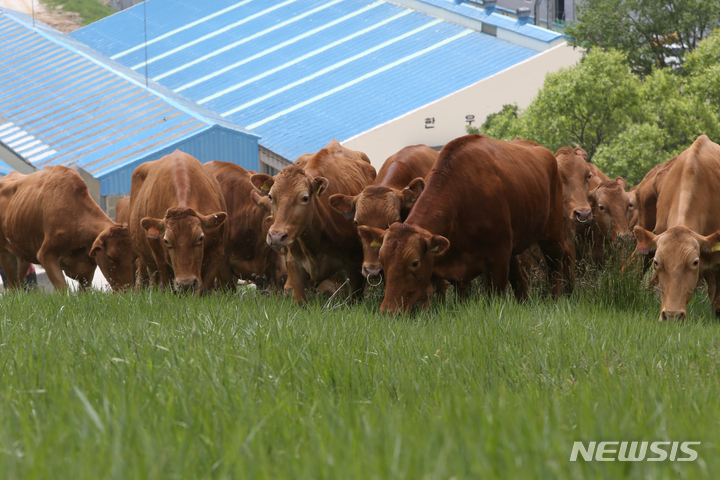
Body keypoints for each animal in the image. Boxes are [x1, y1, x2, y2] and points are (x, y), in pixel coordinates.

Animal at [0, 166, 137, 291]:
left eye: (135, 258)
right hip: (6, 255)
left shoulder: (87, 269)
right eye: (110, 257)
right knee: (12, 287)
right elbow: (63, 289)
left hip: (22, 256)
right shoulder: (46, 255)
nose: (127, 291)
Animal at [129, 150, 228, 293]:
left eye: (200, 238)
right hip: (147, 261)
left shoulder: (217, 253)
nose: (186, 283)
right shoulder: (160, 260)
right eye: (166, 241)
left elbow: (203, 287)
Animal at [364, 135, 572, 313]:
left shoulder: (499, 258)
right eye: (383, 259)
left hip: (552, 235)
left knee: (556, 266)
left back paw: (557, 300)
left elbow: (496, 295)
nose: (388, 311)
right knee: (521, 278)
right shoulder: (459, 268)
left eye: (415, 263)